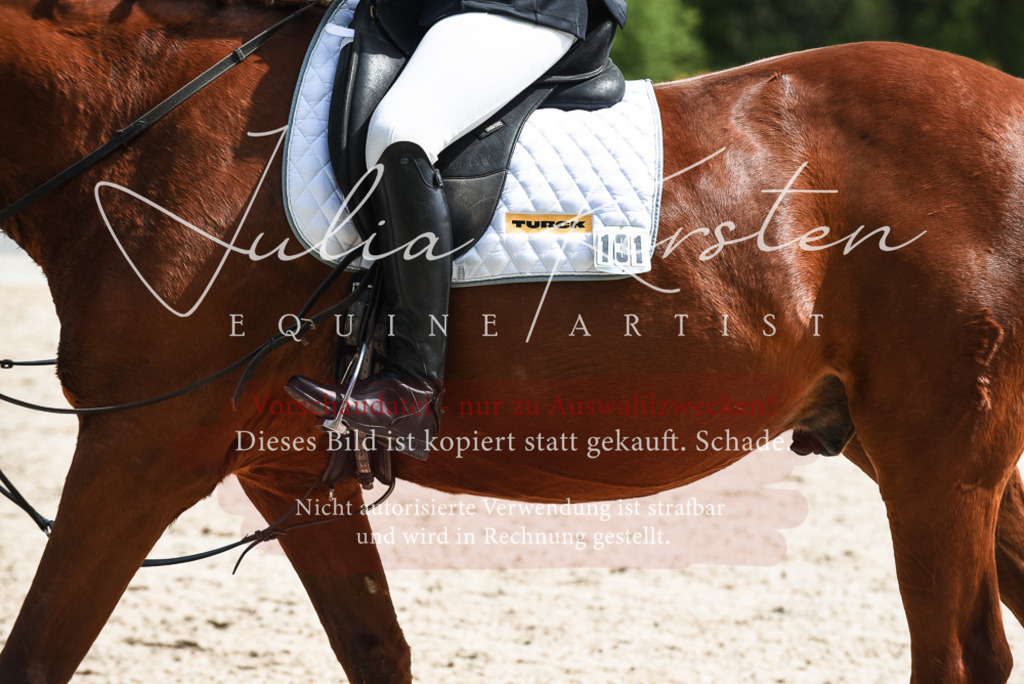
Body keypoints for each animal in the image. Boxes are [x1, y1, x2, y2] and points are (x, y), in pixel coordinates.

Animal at [4, 0, 1024, 681]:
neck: (145, 118)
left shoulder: (140, 450)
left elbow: (37, 651)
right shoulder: (286, 470)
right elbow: (377, 649)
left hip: (936, 462)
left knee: (954, 655)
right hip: (927, 456)